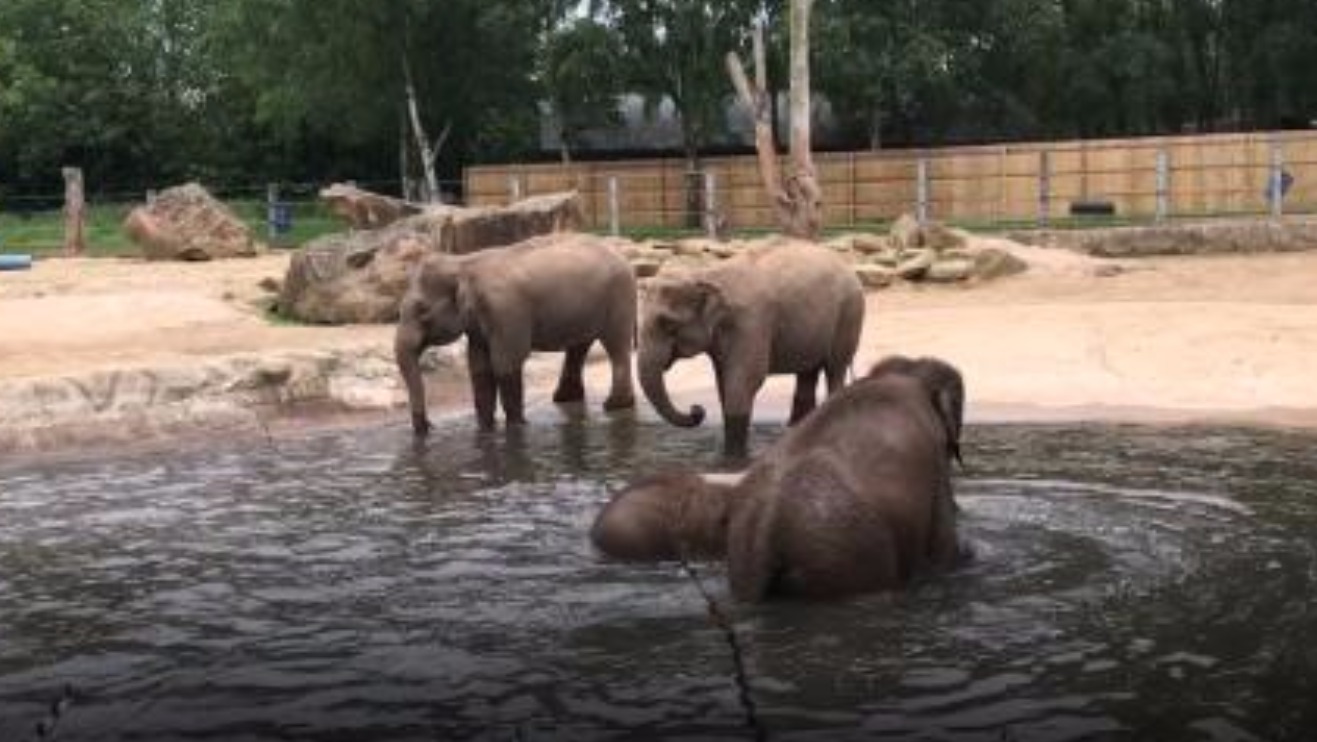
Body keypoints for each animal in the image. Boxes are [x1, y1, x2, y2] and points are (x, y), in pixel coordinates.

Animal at [392, 237, 634, 434]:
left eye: (422, 311)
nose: (429, 427)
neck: (462, 264)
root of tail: (622, 257)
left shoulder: (506, 311)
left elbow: (505, 363)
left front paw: (517, 426)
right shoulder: (478, 324)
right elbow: (479, 367)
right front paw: (485, 428)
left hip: (618, 298)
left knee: (616, 347)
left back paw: (615, 405)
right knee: (579, 347)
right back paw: (565, 398)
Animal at [634, 241, 863, 458]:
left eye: (667, 324)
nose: (697, 410)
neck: (707, 274)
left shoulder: (752, 322)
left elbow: (743, 382)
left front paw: (734, 458)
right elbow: (723, 383)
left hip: (849, 313)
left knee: (835, 369)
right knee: (807, 374)